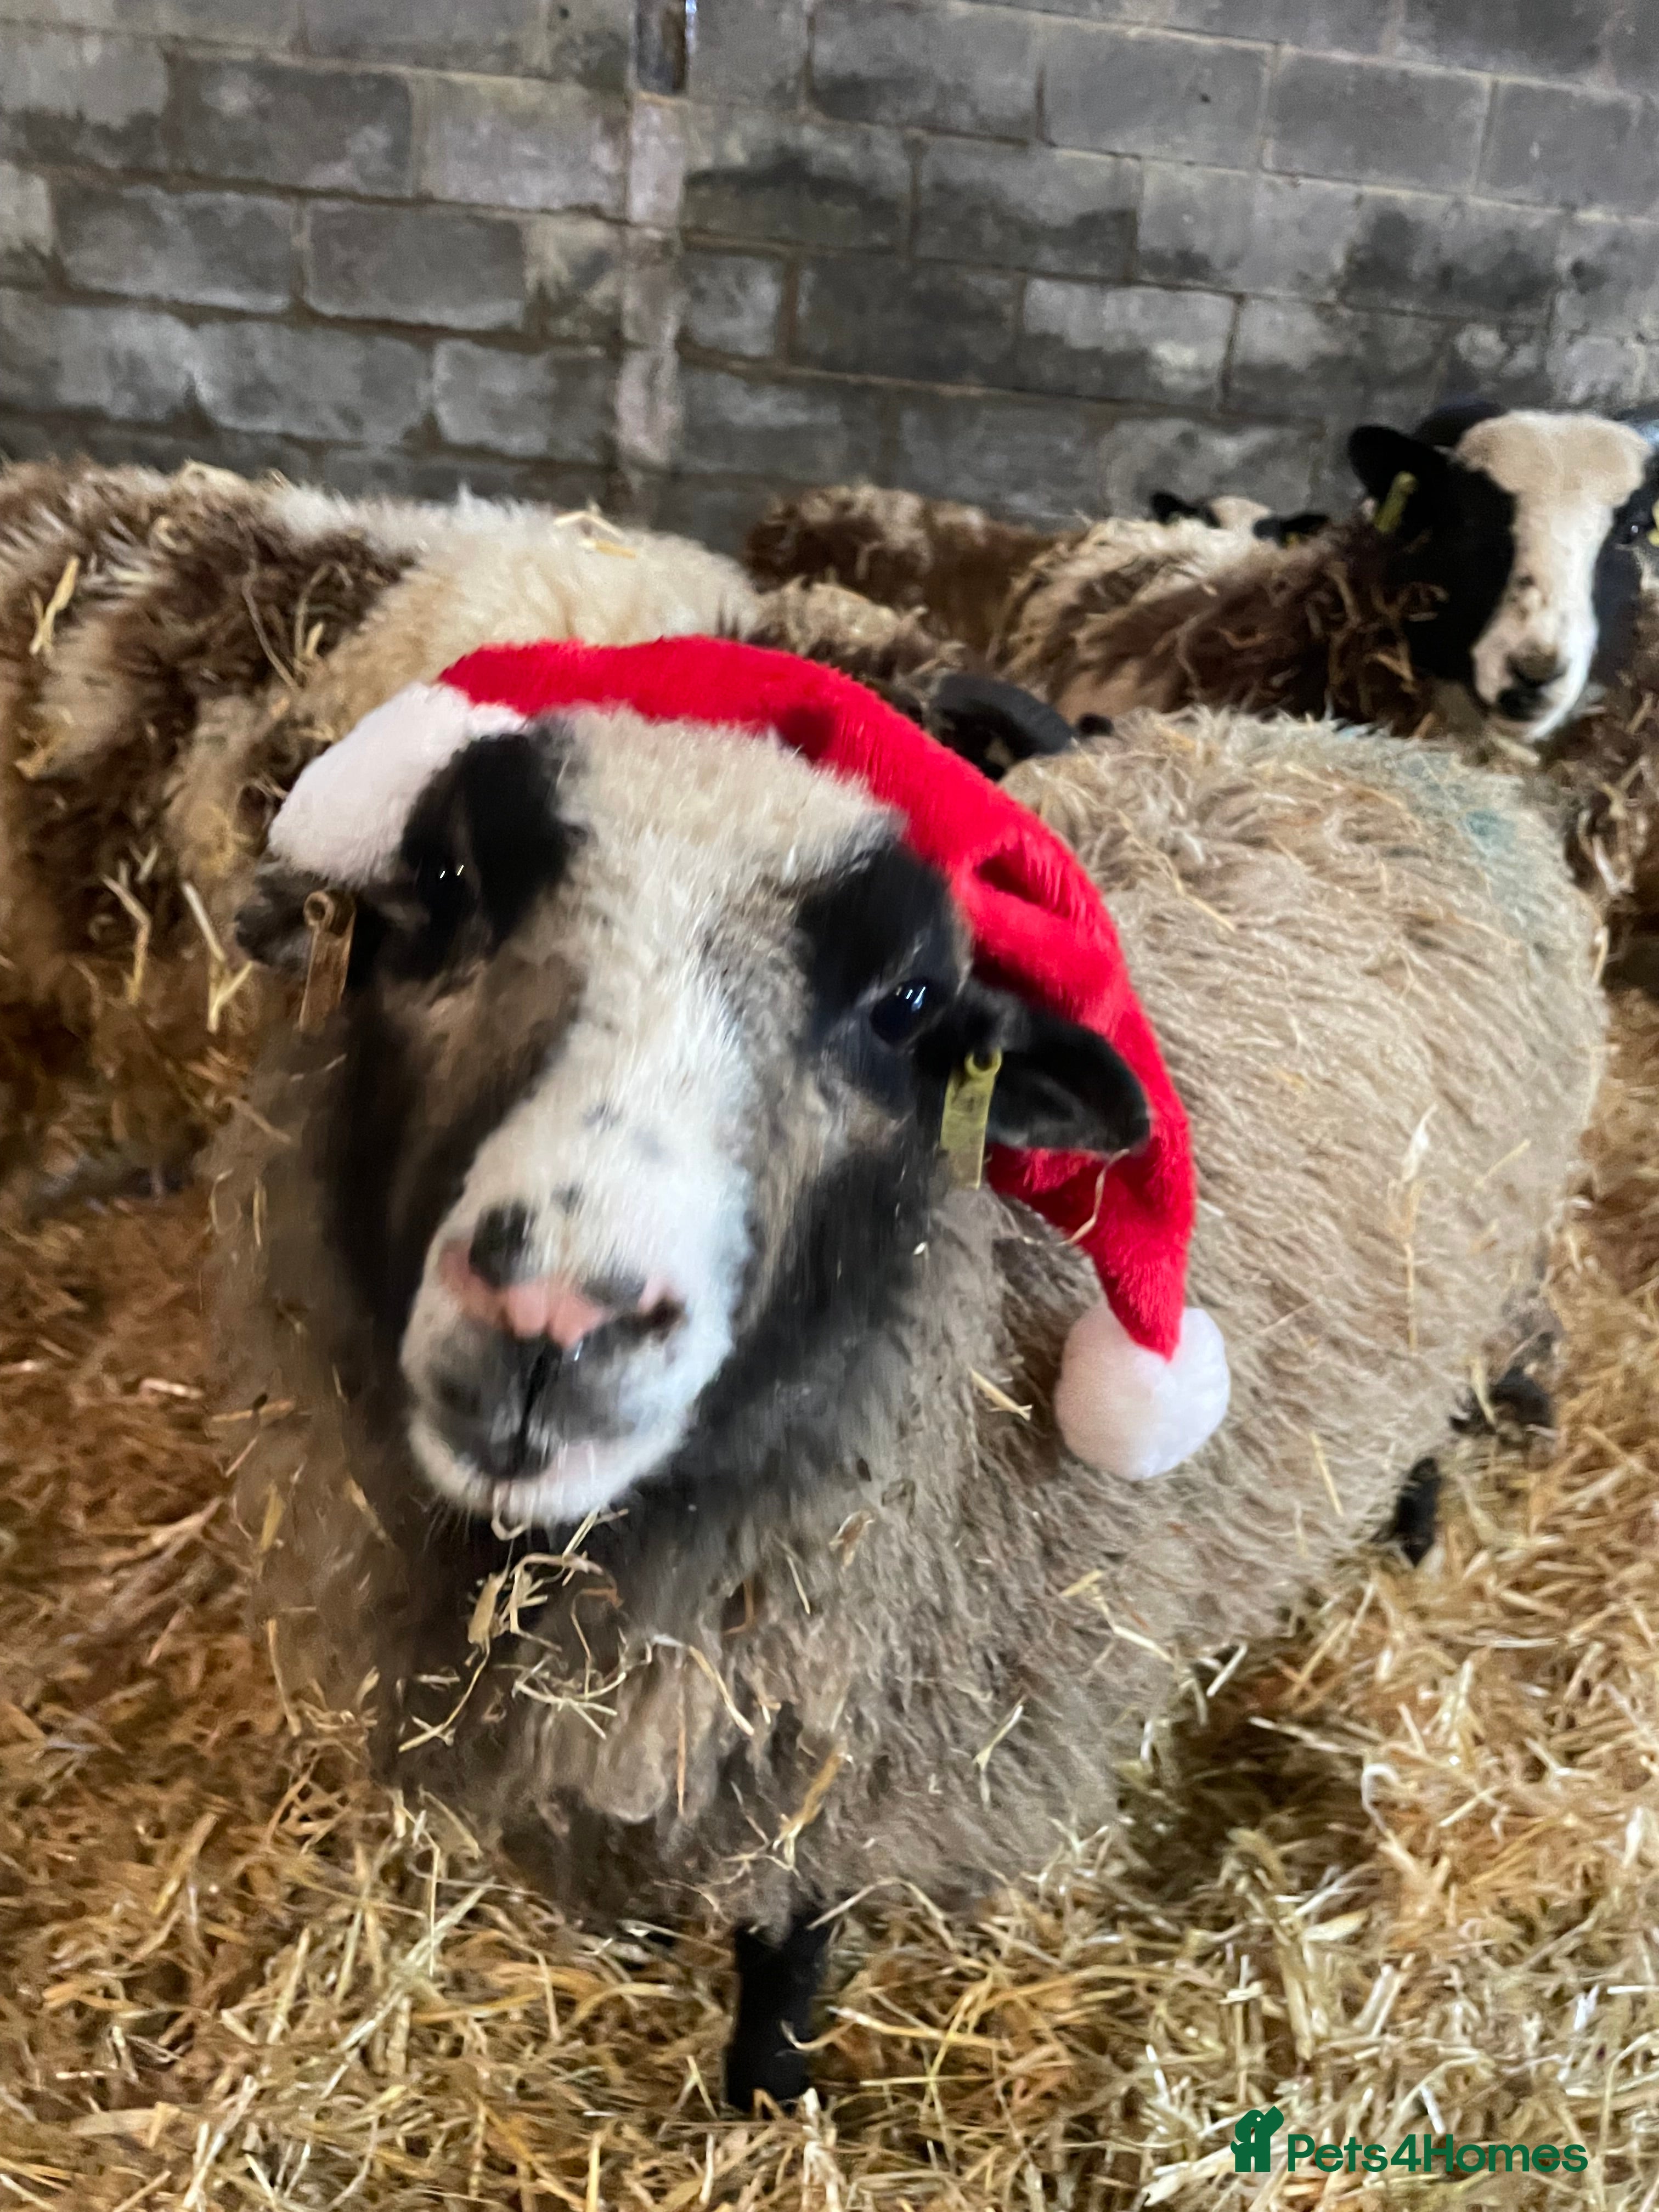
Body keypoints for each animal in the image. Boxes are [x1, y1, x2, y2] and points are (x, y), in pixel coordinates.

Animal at [211, 658, 1604, 2112]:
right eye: (447, 877)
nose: (556, 1317)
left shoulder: (862, 1746)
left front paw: (768, 2086)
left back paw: (1412, 1522)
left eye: (908, 1006)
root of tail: (1378, 750)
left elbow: (793, 1933)